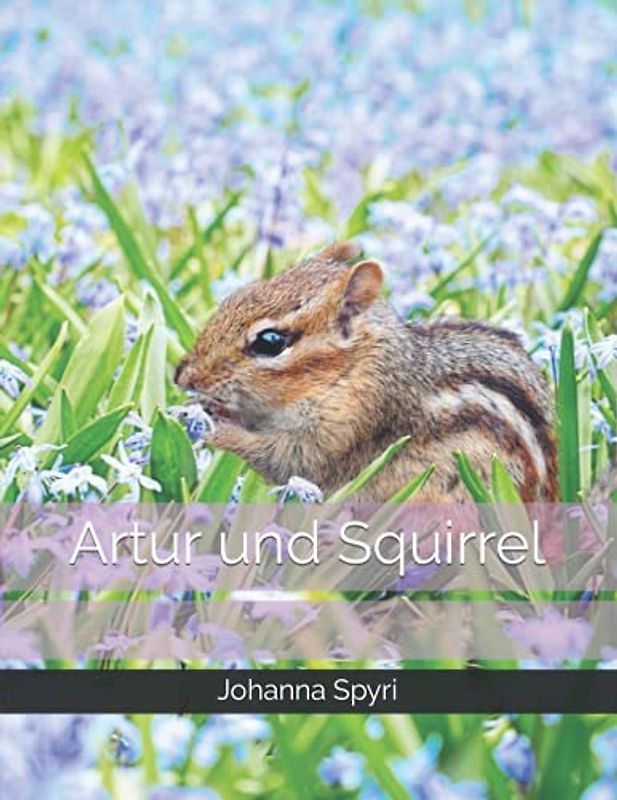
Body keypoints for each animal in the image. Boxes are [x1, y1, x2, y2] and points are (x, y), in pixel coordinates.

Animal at [175, 242, 559, 502]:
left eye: (270, 341)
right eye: (233, 298)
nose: (182, 376)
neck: (349, 369)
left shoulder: (347, 428)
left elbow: (284, 458)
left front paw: (219, 429)